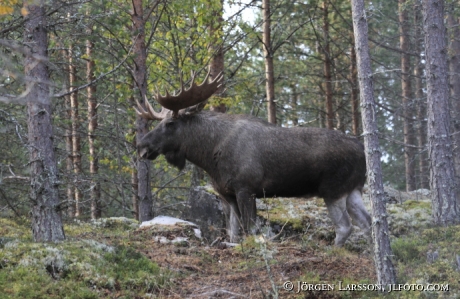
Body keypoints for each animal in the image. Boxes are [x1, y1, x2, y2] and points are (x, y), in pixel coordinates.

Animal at [135, 71, 372, 247]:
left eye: (169, 124)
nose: (142, 145)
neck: (209, 155)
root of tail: (363, 151)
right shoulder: (228, 194)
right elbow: (233, 232)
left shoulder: (246, 188)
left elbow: (250, 229)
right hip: (353, 189)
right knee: (368, 222)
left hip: (333, 189)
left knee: (345, 226)